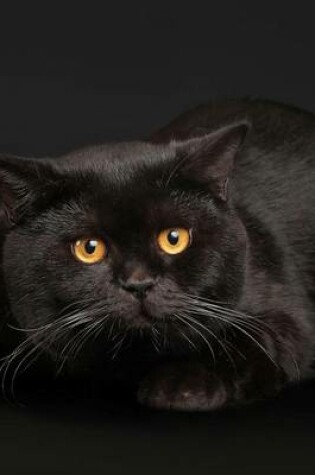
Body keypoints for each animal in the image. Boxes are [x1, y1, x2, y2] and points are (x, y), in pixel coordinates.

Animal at [0, 98, 315, 410]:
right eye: (89, 247)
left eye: (174, 238)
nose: (139, 283)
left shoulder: (286, 321)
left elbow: (240, 343)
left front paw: (179, 385)